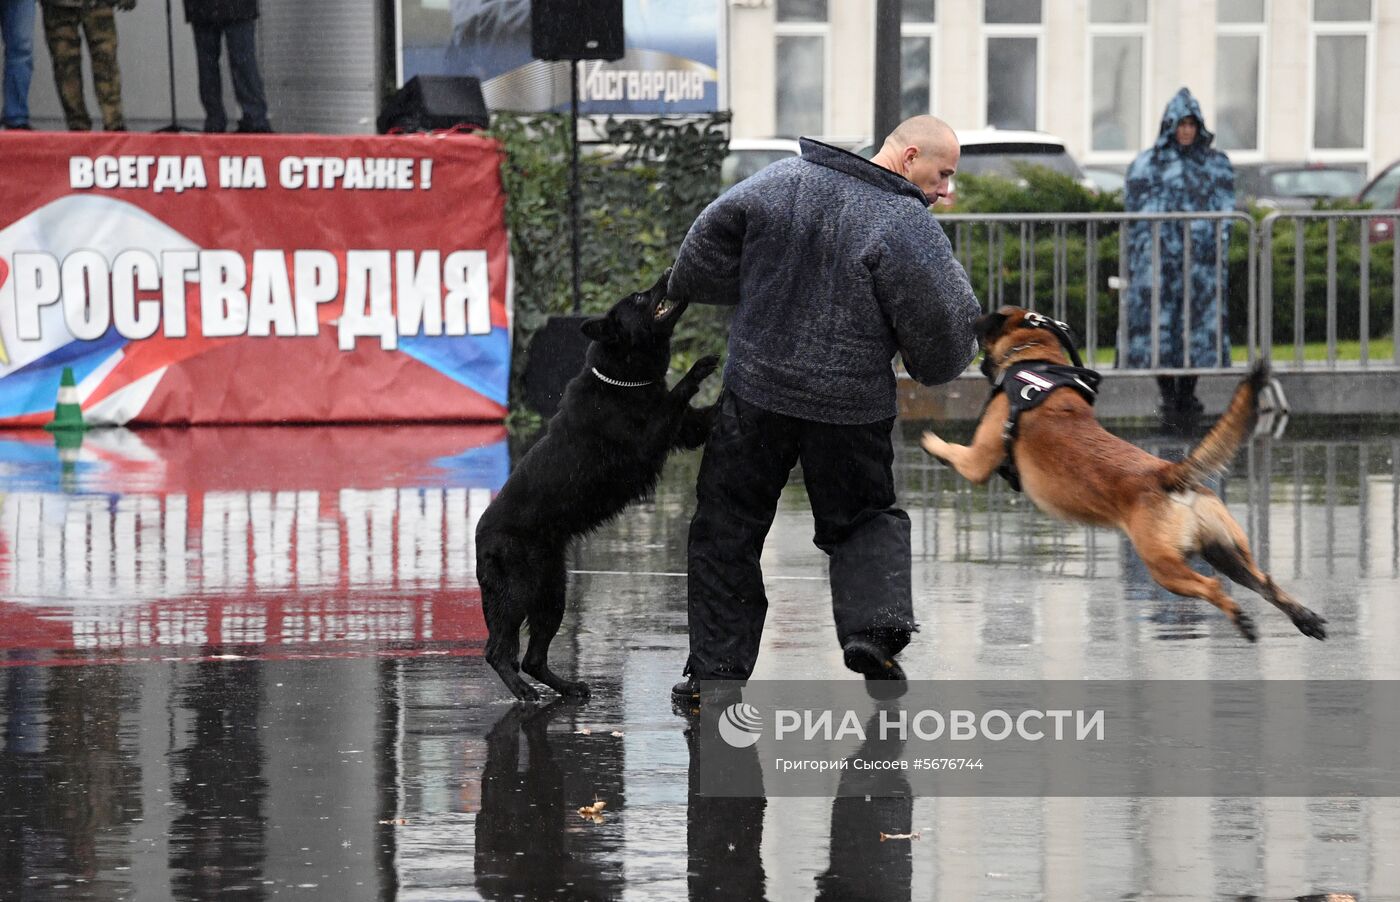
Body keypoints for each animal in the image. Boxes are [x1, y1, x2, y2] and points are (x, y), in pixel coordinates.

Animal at [481, 271, 722, 700]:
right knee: (498, 651)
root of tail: (479, 540)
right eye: (640, 297)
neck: (624, 381)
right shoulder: (648, 440)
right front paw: (697, 369)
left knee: (533, 657)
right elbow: (677, 394)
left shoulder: (685, 429)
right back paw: (523, 691)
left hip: (552, 593)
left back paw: (567, 686)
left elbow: (703, 414)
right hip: (518, 592)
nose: (668, 272)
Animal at [918, 308, 1321, 641]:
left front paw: (930, 441)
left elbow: (955, 453)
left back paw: (1241, 619)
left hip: (1165, 567)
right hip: (1226, 551)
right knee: (1264, 581)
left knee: (1212, 587)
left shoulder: (977, 462)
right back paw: (1305, 618)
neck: (1035, 358)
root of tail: (1170, 474)